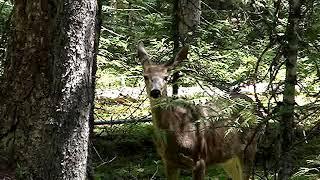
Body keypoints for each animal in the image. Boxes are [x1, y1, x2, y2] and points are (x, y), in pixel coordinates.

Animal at [138, 42, 258, 180]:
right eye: (145, 76)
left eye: (166, 77)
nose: (155, 92)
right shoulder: (168, 162)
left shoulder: (200, 159)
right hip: (228, 157)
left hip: (250, 146)